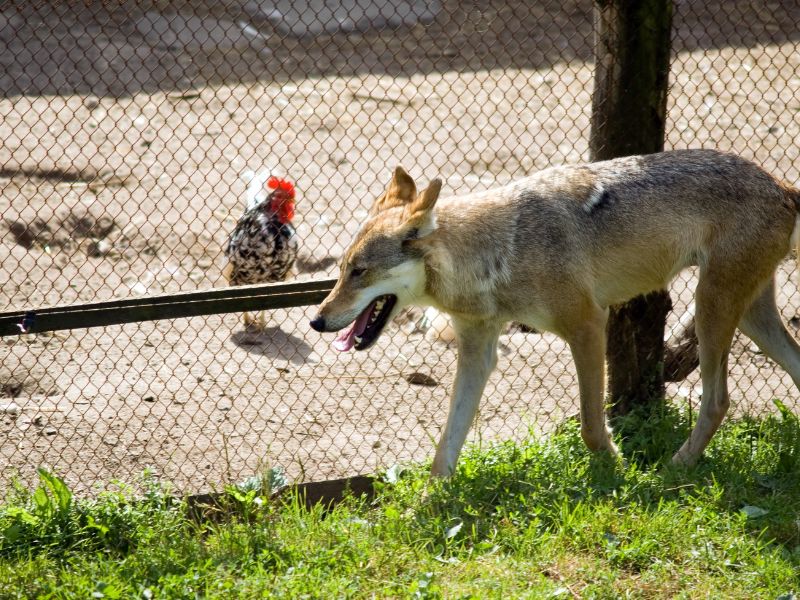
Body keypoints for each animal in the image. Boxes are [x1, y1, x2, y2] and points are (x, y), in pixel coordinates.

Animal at [308, 150, 800, 478]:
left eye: (359, 272)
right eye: (341, 270)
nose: (316, 320)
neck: (499, 254)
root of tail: (781, 185)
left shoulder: (588, 325)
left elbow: (591, 427)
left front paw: (619, 472)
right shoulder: (477, 353)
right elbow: (446, 446)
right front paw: (428, 507)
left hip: (710, 310)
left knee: (717, 401)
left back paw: (674, 469)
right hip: (744, 316)